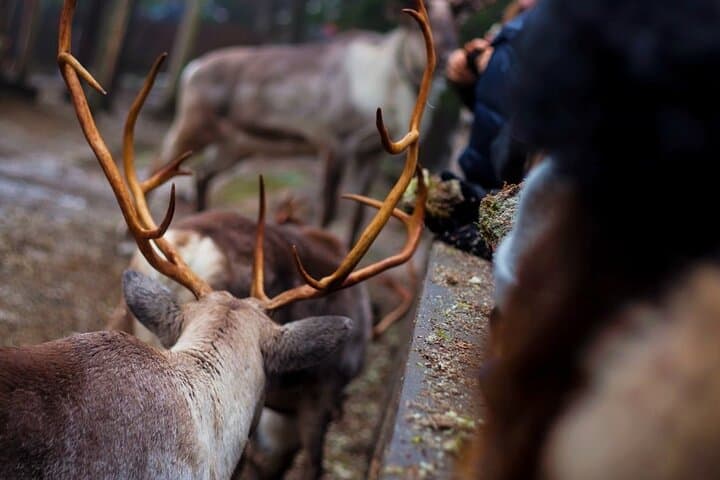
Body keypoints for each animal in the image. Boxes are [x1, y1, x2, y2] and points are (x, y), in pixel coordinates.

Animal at [151, 0, 460, 244]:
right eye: (418, 26)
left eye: (456, 18)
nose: (447, 56)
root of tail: (191, 69)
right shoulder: (336, 142)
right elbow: (329, 209)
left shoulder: (372, 153)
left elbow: (362, 215)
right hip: (192, 129)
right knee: (158, 168)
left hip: (237, 146)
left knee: (203, 176)